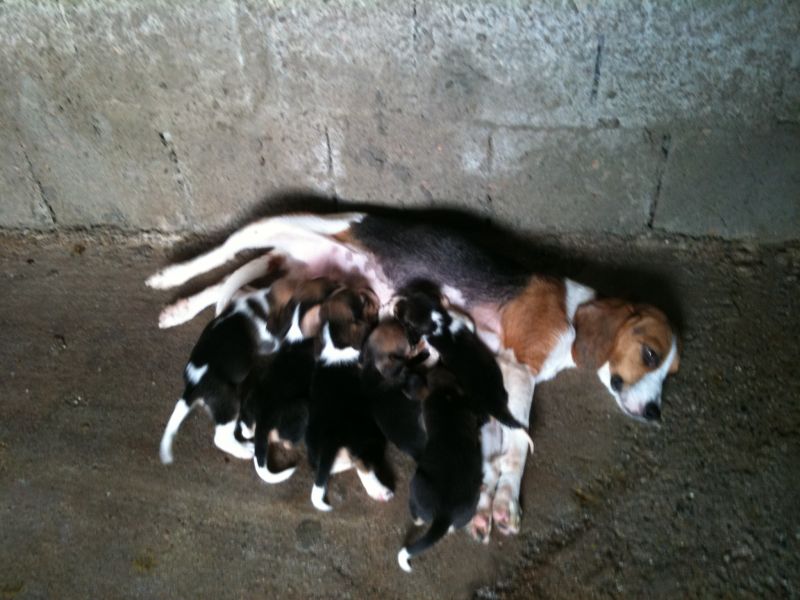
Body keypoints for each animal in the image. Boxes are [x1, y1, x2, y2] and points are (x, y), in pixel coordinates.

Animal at [239, 276, 336, 482]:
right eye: (328, 289)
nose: (336, 281)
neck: (296, 330)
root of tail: (263, 423)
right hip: (303, 409)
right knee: (286, 442)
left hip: (250, 402)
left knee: (247, 428)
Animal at [304, 286, 392, 510]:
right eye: (363, 301)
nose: (369, 289)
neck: (335, 342)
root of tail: (330, 440)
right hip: (369, 439)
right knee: (363, 465)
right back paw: (382, 492)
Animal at [398, 366, 484, 572]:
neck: (446, 392)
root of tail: (444, 514)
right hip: (471, 505)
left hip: (416, 484)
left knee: (417, 514)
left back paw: (416, 519)